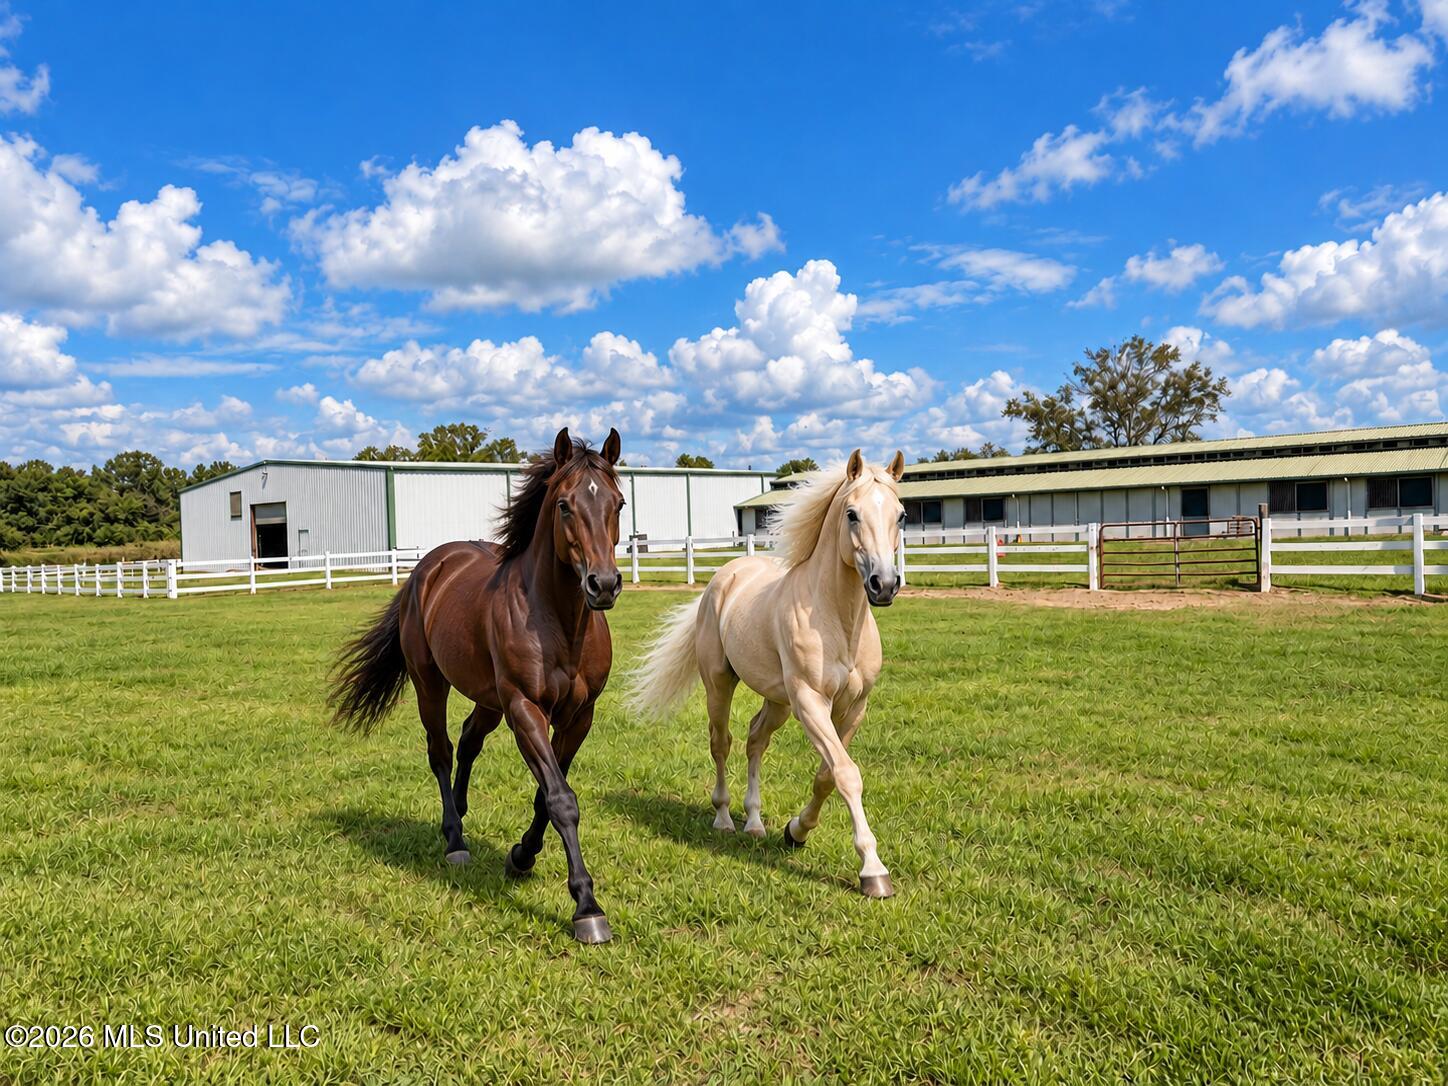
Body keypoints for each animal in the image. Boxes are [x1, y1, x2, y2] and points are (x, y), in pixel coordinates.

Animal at [328, 427, 626, 943]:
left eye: (619, 503)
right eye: (564, 505)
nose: (603, 585)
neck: (557, 621)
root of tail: (427, 568)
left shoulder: (578, 717)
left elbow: (547, 794)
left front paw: (522, 857)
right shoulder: (525, 709)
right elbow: (560, 798)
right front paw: (587, 907)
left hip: (489, 701)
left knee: (468, 740)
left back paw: (463, 814)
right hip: (431, 684)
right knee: (442, 751)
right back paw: (454, 839)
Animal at [626, 449, 906, 897]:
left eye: (900, 514)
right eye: (852, 514)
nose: (884, 585)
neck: (836, 619)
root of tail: (722, 578)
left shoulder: (853, 707)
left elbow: (828, 775)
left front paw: (796, 831)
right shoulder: (811, 702)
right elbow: (846, 774)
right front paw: (873, 871)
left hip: (777, 701)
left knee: (755, 740)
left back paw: (755, 823)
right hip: (721, 684)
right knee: (721, 743)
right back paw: (724, 819)